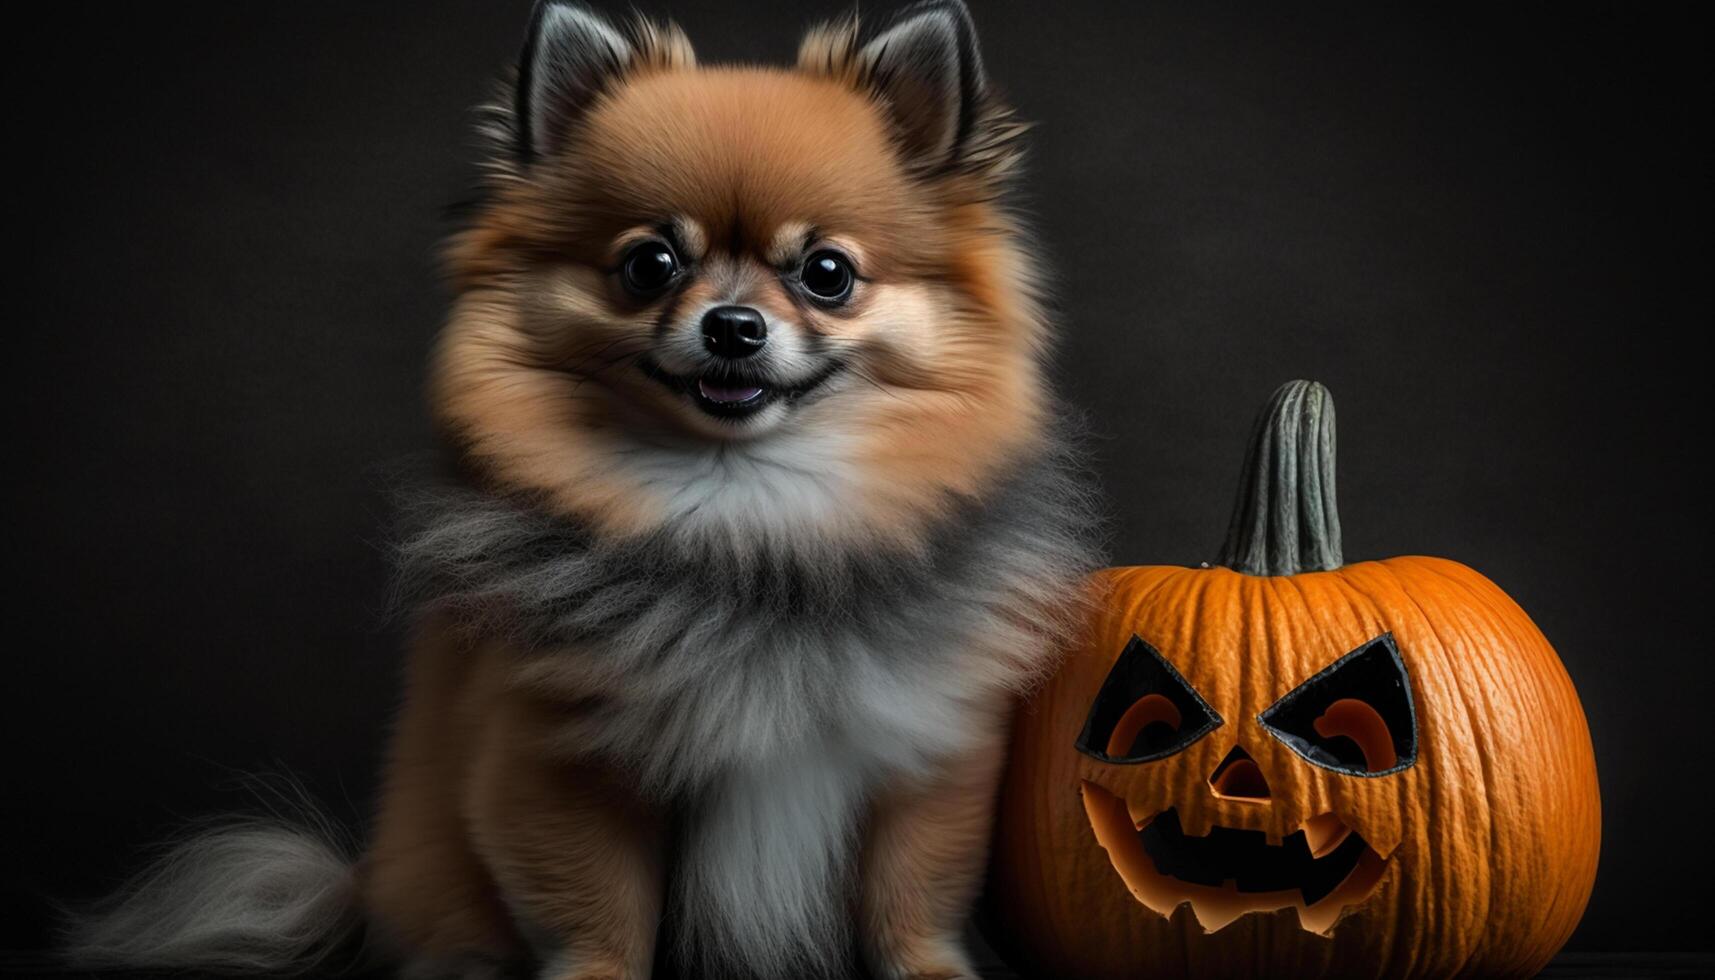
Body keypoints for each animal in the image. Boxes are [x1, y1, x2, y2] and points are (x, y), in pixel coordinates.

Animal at [66, 1, 1097, 980]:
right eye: (649, 264)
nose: (733, 326)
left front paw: (933, 968)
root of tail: (362, 884)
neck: (749, 513)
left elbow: (910, 897)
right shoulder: (562, 756)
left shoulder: (924, 750)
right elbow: (599, 910)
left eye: (827, 274)